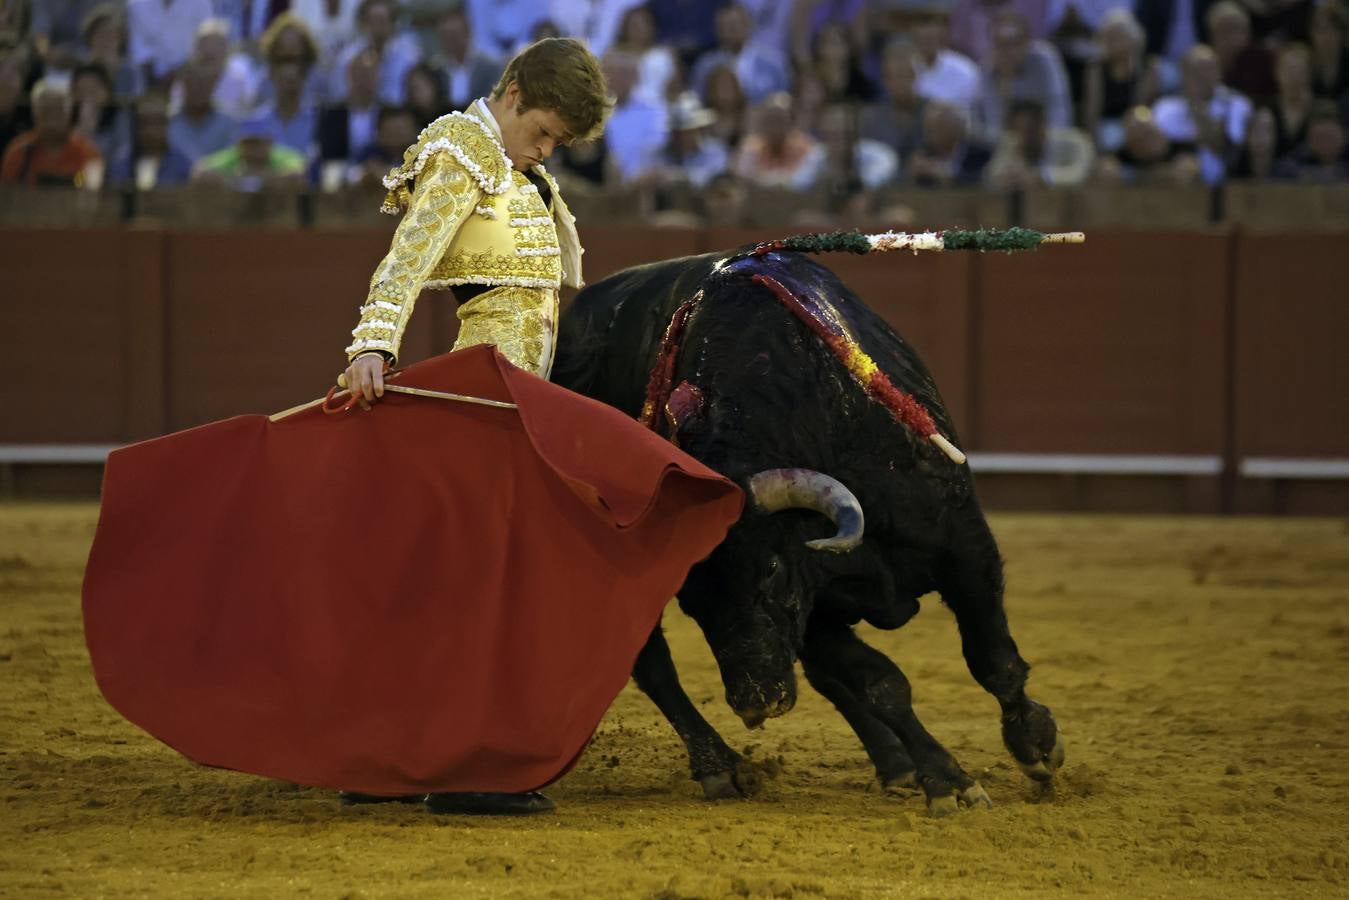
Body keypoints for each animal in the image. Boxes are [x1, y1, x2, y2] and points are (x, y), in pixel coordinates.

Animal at [550, 248, 1063, 814]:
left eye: (771, 568)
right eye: (691, 603)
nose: (755, 703)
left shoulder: (964, 548)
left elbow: (991, 659)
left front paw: (1035, 745)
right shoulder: (815, 610)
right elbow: (883, 684)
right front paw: (947, 780)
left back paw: (894, 765)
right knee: (654, 666)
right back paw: (722, 767)